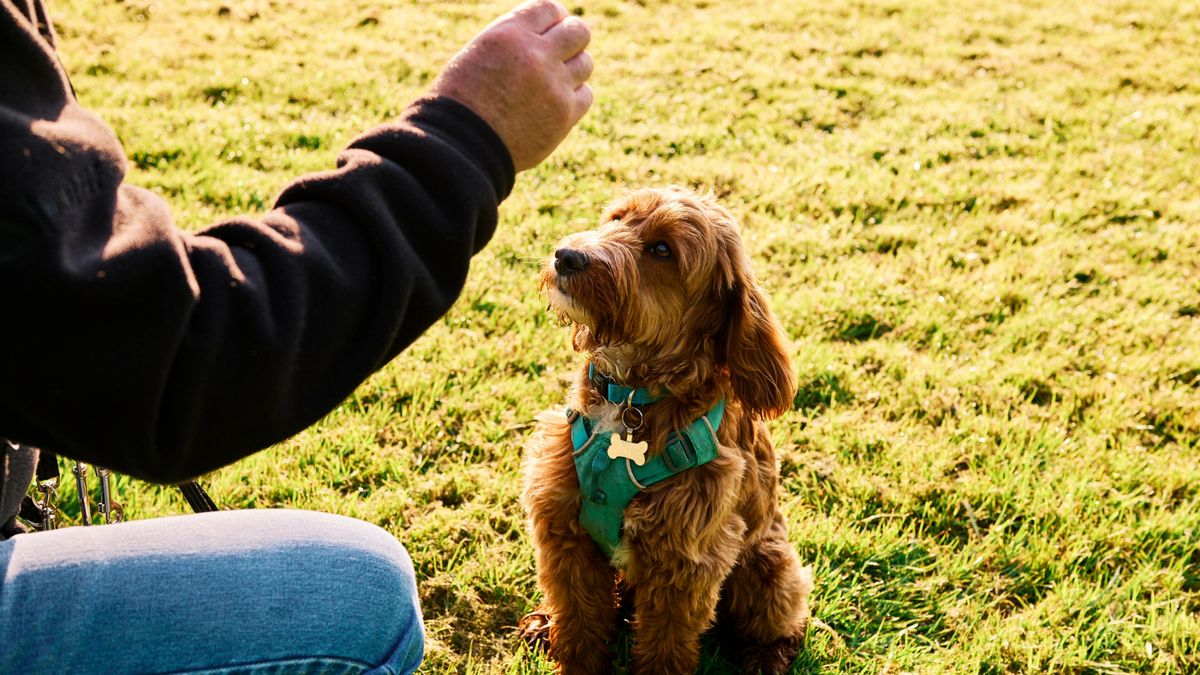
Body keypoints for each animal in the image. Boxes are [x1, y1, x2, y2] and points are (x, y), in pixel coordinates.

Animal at [520, 186, 811, 667]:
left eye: (662, 250)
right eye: (616, 218)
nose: (567, 256)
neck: (630, 398)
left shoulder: (686, 563)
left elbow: (666, 646)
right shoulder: (564, 531)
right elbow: (579, 621)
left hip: (768, 567)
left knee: (783, 622)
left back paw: (766, 658)